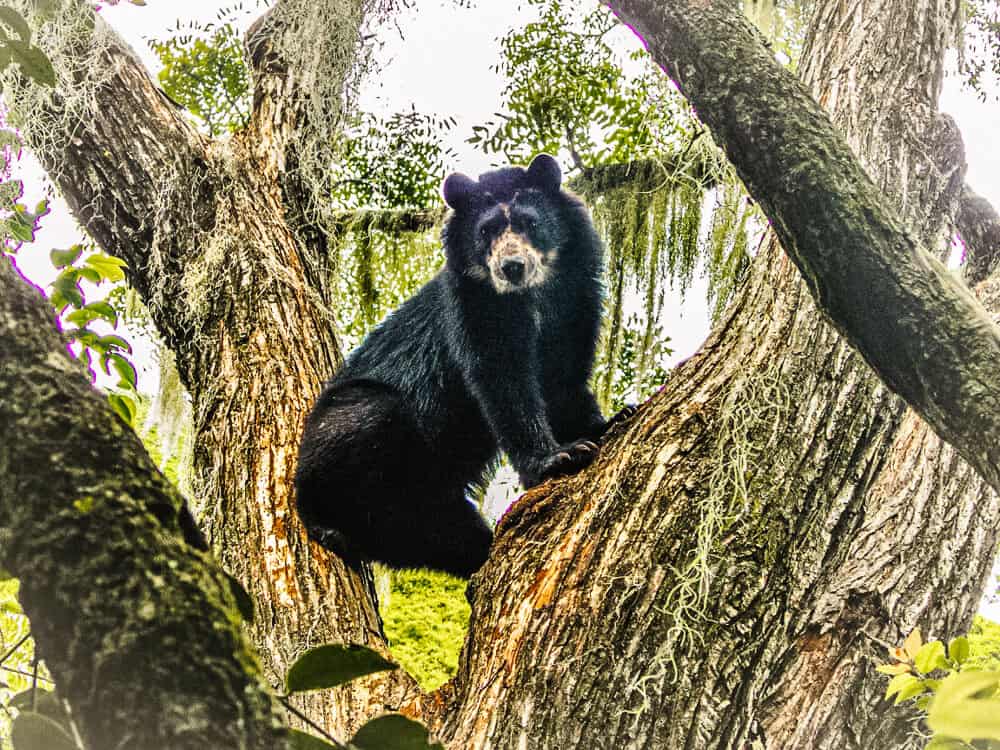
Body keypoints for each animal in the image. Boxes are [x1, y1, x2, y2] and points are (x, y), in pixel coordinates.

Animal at [292, 151, 628, 576]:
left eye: (530, 222)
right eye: (486, 231)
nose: (511, 267)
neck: (534, 297)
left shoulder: (575, 296)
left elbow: (564, 380)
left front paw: (607, 423)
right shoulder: (473, 306)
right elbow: (501, 380)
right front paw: (555, 458)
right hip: (354, 421)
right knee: (362, 422)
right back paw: (325, 523)